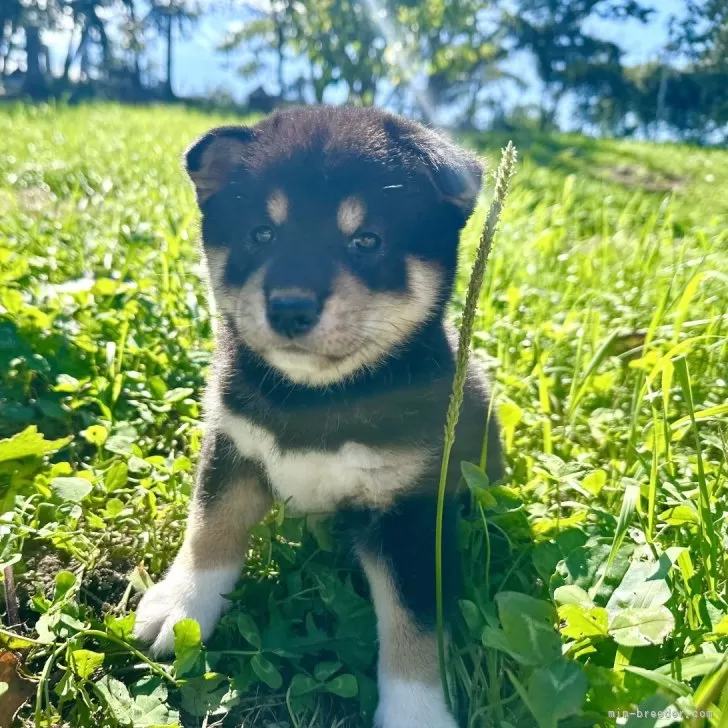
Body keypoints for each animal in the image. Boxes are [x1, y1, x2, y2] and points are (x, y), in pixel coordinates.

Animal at [134, 105, 504, 728]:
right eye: (262, 234)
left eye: (366, 240)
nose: (289, 307)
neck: (317, 397)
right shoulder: (232, 444)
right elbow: (209, 528)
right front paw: (181, 606)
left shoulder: (410, 514)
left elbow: (413, 626)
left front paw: (415, 712)